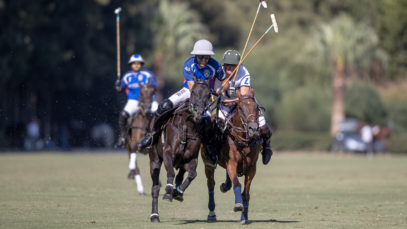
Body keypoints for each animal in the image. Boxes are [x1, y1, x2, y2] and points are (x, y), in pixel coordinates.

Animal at [149, 78, 212, 222]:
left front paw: (177, 192)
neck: (188, 127)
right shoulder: (168, 153)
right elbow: (170, 173)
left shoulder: (191, 158)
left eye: (208, 95)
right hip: (154, 159)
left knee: (180, 175)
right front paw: (168, 192)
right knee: (155, 187)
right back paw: (154, 215)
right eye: (193, 92)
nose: (198, 114)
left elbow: (192, 174)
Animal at [202, 89, 262, 224]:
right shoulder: (231, 163)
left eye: (256, 107)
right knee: (211, 184)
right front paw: (238, 205)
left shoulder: (252, 167)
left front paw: (244, 217)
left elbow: (246, 193)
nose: (254, 129)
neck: (242, 140)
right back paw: (211, 214)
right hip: (208, 164)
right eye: (240, 107)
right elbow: (237, 184)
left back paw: (225, 186)